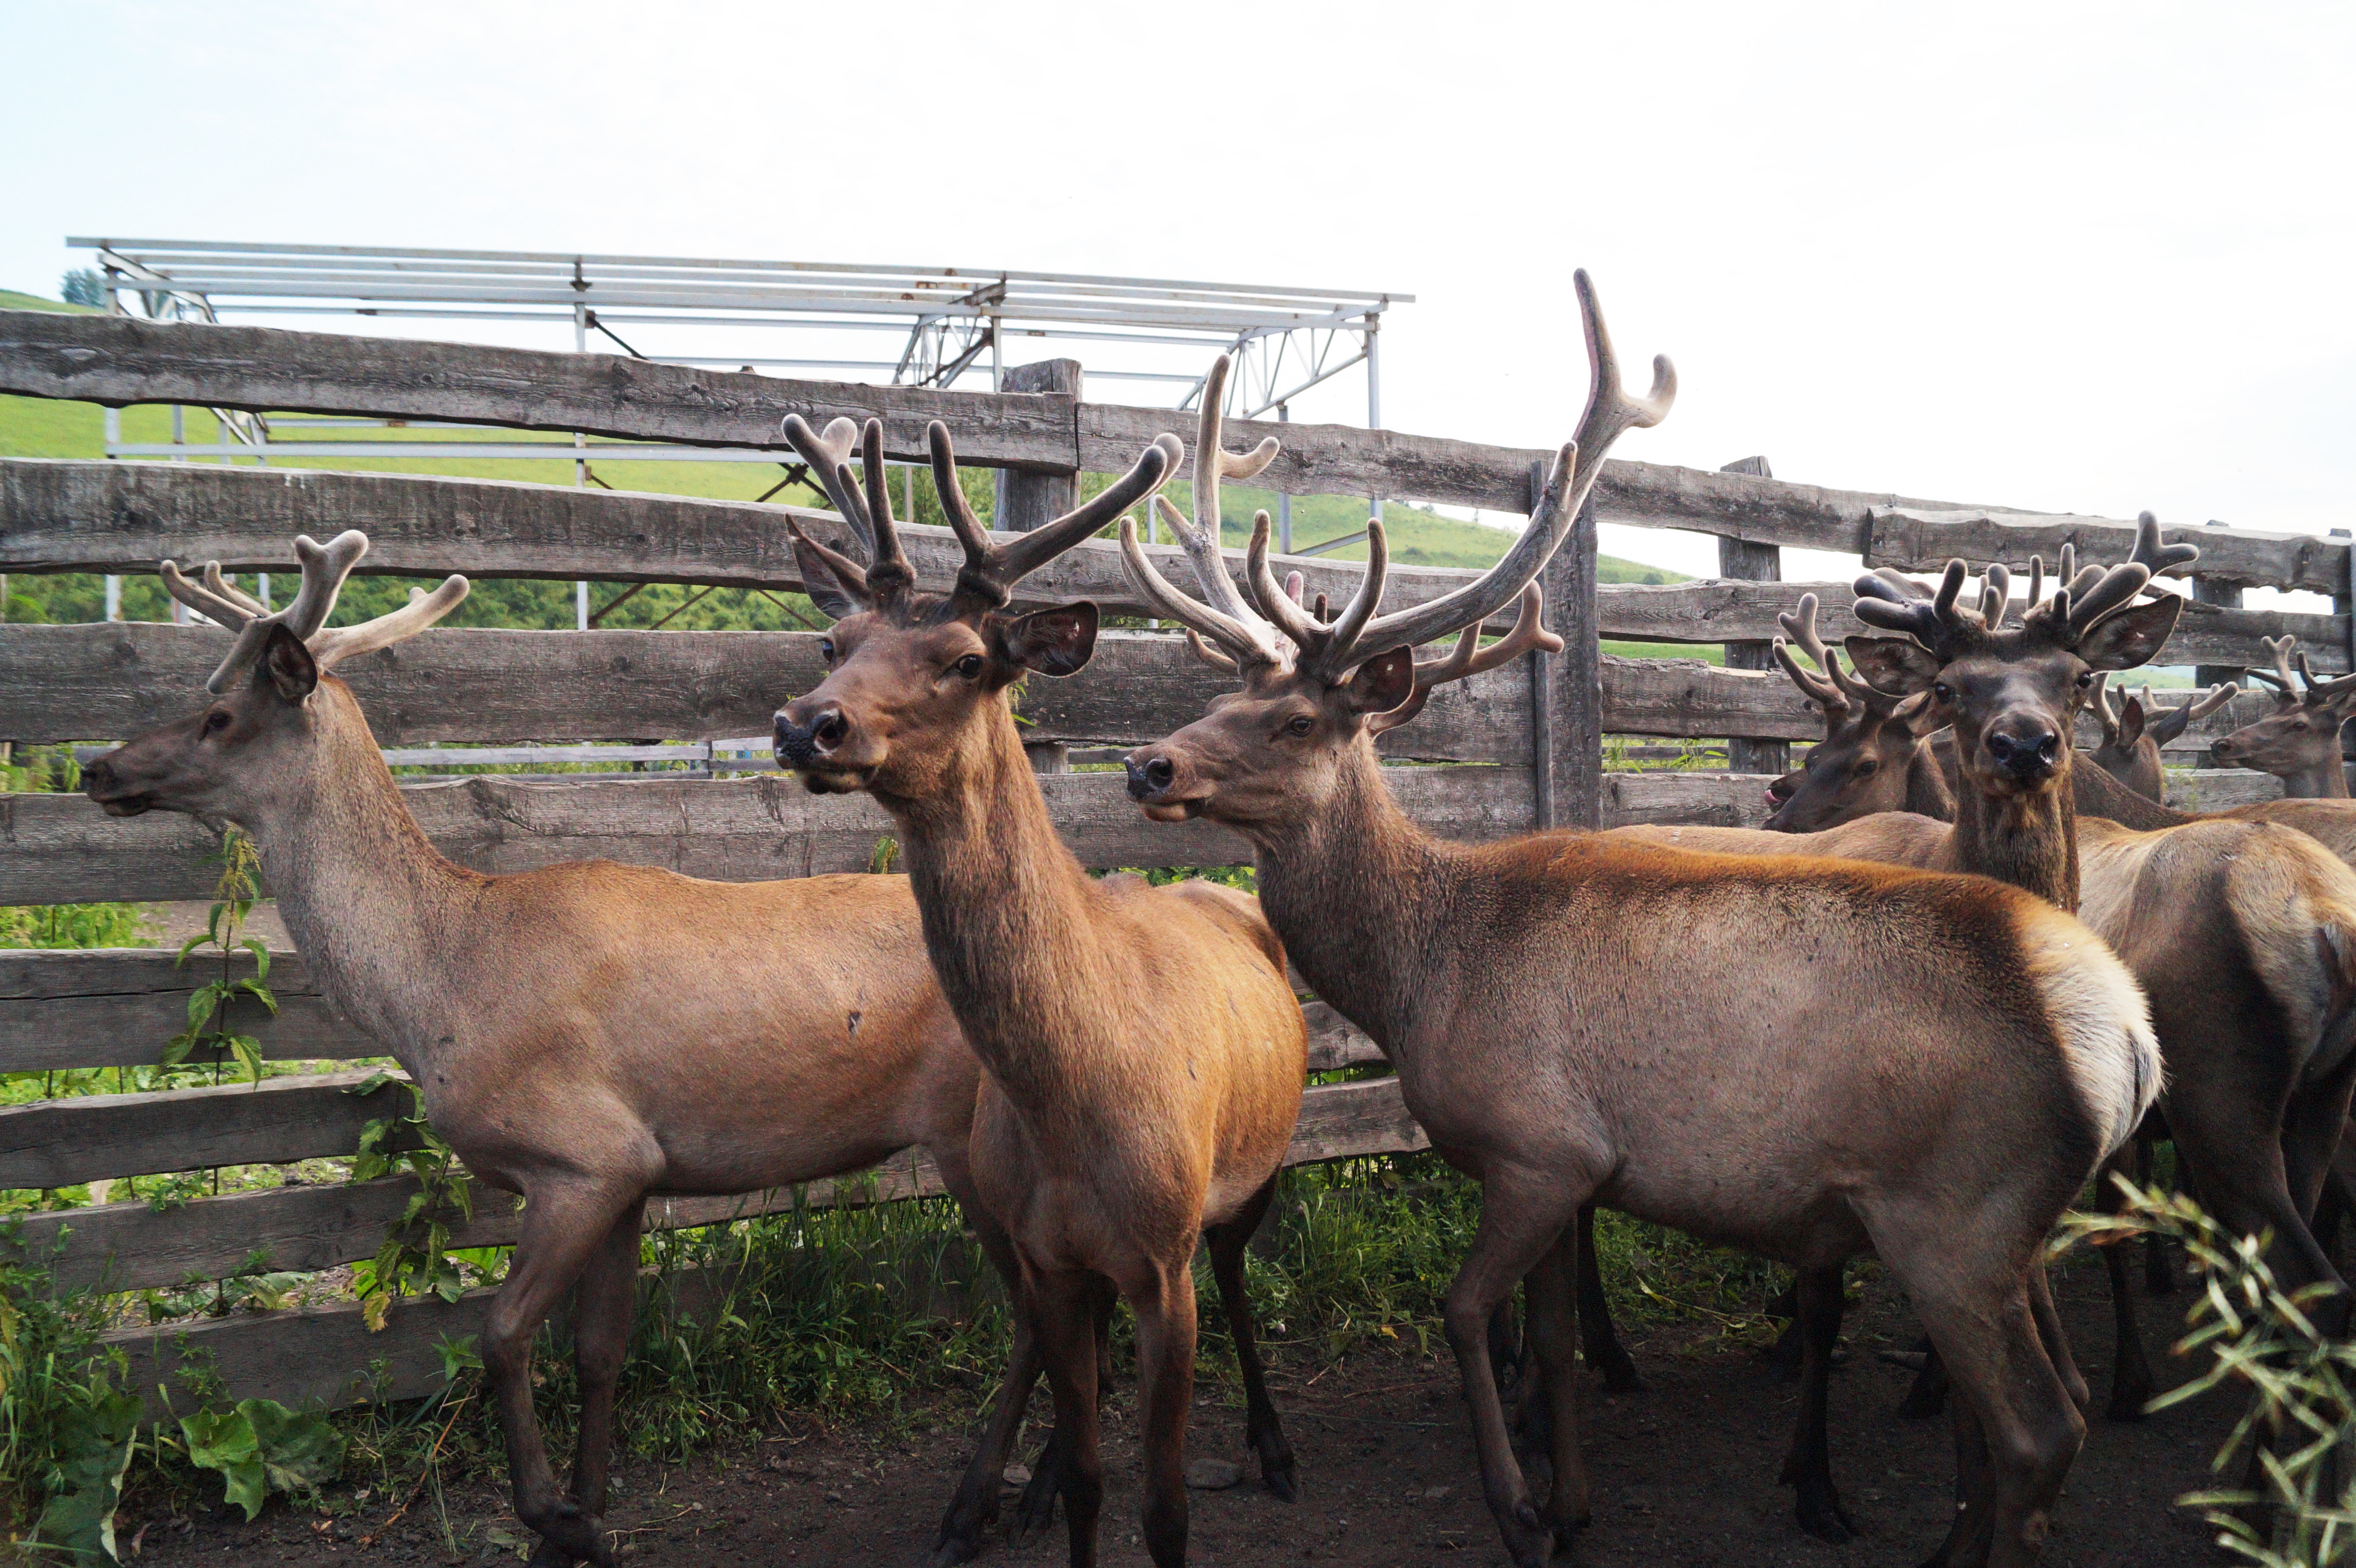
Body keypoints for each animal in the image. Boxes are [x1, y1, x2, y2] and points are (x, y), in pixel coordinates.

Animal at [73, 537, 1079, 1563]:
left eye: (219, 714)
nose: (95, 766)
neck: (438, 985)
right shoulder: (638, 1173)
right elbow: (600, 1352)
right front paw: (589, 1515)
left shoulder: (582, 1156)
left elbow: (505, 1335)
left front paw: (556, 1517)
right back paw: (1040, 1488)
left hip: (969, 1133)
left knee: (1036, 1308)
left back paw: (974, 1508)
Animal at [768, 405, 1310, 1563]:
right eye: (833, 643)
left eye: (968, 657)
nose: (807, 724)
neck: (1074, 1106)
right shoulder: (1053, 1258)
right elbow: (1099, 1480)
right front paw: (1051, 1486)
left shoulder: (1162, 1262)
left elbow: (1164, 1503)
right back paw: (1011, 1489)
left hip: (1252, 1172)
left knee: (1240, 1276)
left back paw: (1275, 1446)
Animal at [1112, 272, 2158, 1563]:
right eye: (1222, 691)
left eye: (1298, 720)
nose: (1149, 765)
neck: (1416, 972)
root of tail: (2123, 1033)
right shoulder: (1569, 1175)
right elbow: (1556, 1344)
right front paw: (1570, 1503)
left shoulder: (1537, 1144)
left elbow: (1464, 1311)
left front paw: (1516, 1510)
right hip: (1999, 1233)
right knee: (2032, 1412)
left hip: (1955, 1215)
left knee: (2039, 1424)